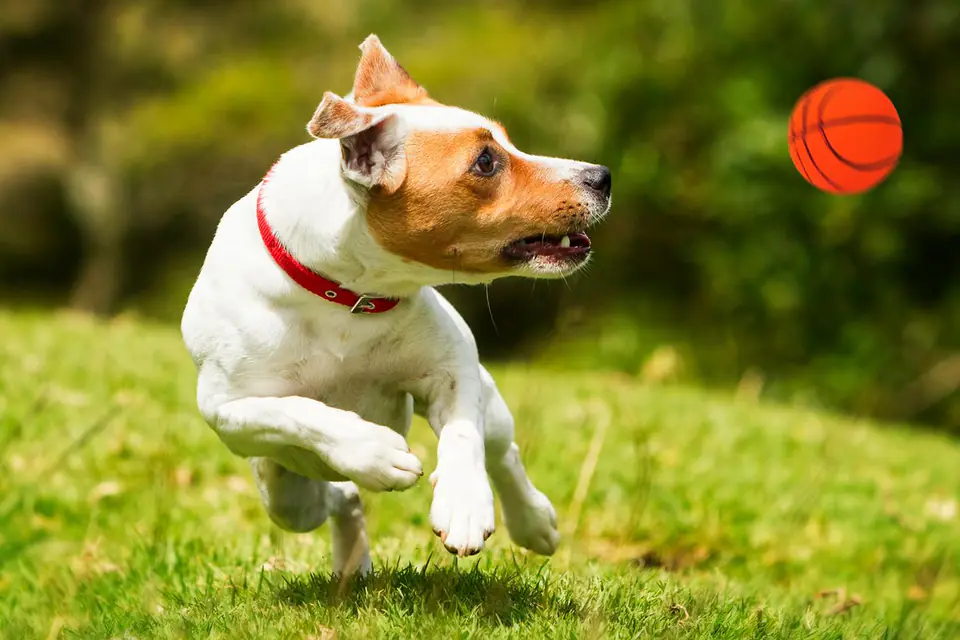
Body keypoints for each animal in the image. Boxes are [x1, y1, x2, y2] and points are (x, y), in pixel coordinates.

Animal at [180, 33, 612, 576]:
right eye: (485, 161)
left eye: (508, 142)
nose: (602, 176)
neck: (347, 295)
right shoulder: (226, 409)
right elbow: (296, 410)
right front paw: (373, 450)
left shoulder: (453, 367)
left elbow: (464, 436)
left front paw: (464, 505)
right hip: (286, 497)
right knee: (336, 498)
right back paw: (352, 562)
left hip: (491, 405)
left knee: (502, 451)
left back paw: (534, 521)